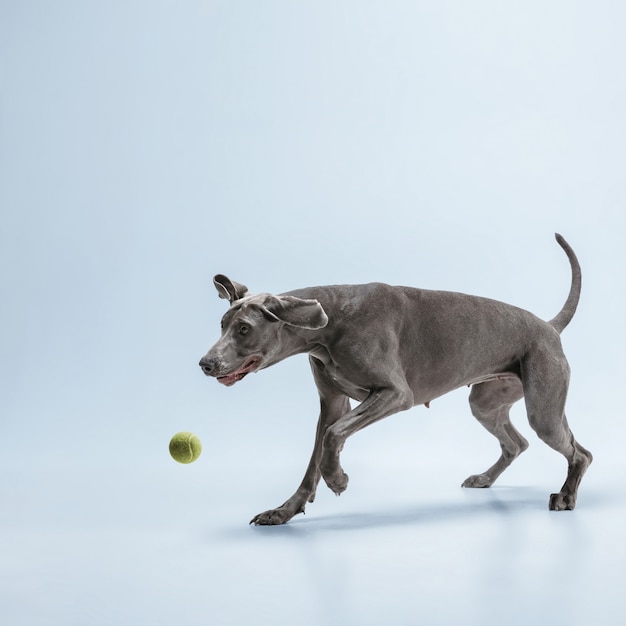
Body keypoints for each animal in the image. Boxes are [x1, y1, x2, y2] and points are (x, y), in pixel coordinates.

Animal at [199, 233, 588, 520]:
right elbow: (318, 451)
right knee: (516, 443)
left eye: (244, 329)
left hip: (543, 409)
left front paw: (337, 479)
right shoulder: (332, 402)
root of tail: (548, 326)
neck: (330, 322)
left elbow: (333, 435)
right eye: (221, 325)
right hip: (486, 400)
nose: (205, 363)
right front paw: (284, 511)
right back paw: (485, 479)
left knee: (579, 453)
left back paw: (565, 497)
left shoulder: (396, 394)